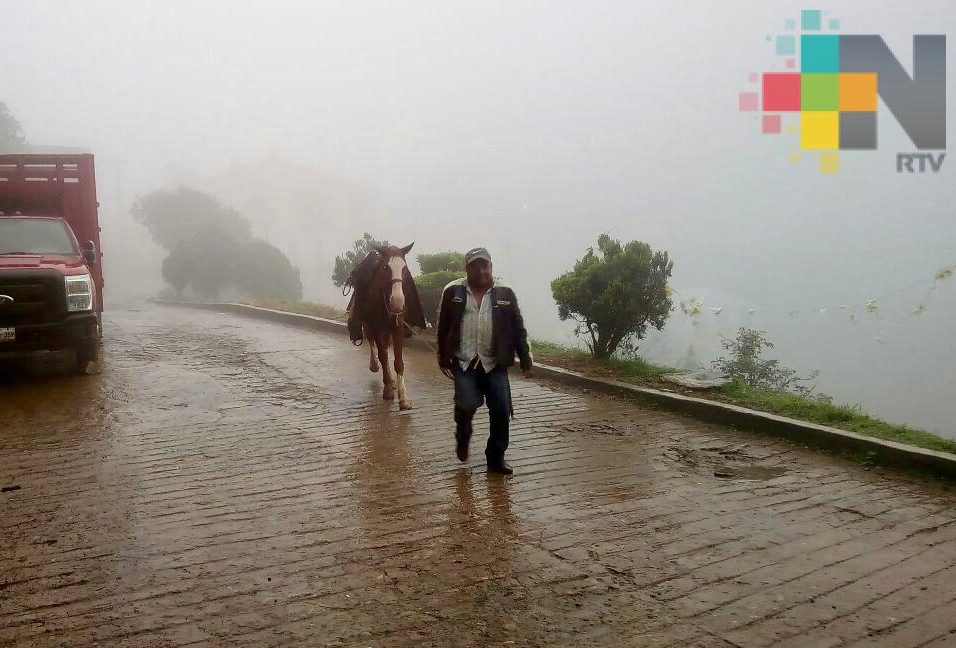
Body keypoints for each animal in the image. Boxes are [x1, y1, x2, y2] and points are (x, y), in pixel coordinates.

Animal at [352, 243, 424, 410]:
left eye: (405, 268)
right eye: (385, 267)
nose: (397, 301)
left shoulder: (398, 326)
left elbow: (398, 361)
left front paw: (404, 397)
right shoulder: (376, 326)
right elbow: (383, 356)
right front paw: (388, 391)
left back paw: (391, 381)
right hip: (368, 324)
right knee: (374, 345)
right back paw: (376, 367)